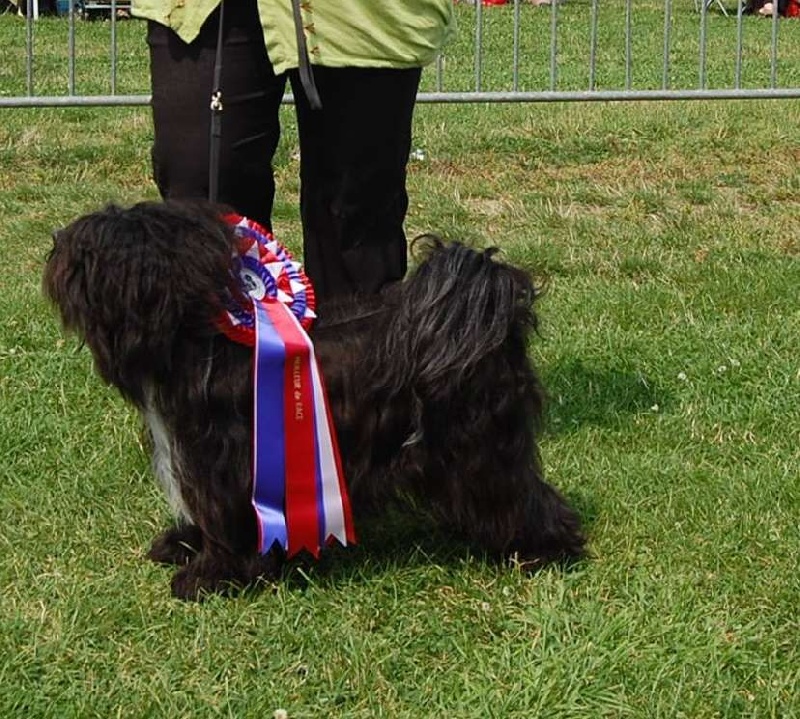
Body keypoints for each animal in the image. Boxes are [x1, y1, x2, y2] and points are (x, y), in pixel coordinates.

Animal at [43, 199, 586, 600]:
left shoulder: (226, 466)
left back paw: (545, 549)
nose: (54, 241)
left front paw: (209, 576)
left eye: (89, 251)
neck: (200, 344)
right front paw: (185, 544)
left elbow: (226, 521)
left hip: (478, 444)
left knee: (518, 493)